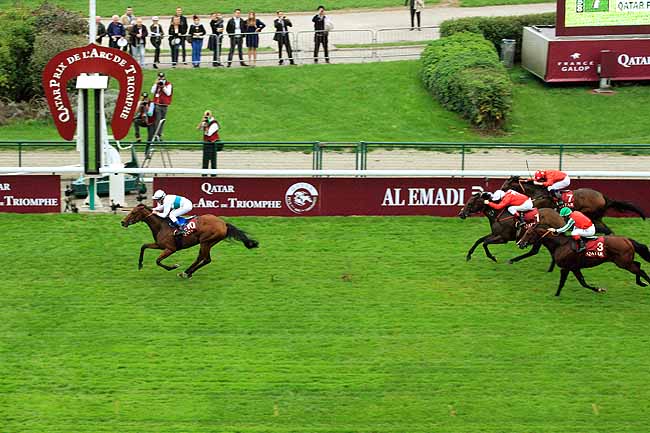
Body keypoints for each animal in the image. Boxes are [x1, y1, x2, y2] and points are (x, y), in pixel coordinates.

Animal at [120, 204, 256, 278]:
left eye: (133, 212)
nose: (122, 222)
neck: (161, 225)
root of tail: (223, 223)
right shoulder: (160, 245)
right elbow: (143, 246)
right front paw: (140, 264)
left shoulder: (171, 249)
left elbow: (158, 261)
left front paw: (173, 266)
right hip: (208, 243)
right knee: (202, 258)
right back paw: (187, 272)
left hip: (206, 241)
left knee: (206, 259)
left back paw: (186, 272)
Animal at [498, 176, 640, 235]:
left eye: (505, 184)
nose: (500, 191)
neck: (539, 192)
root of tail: (603, 197)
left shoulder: (541, 206)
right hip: (597, 218)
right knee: (607, 230)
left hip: (588, 213)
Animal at [520, 224, 648, 296]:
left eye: (528, 233)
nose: (520, 243)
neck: (560, 244)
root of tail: (627, 239)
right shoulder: (574, 268)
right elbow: (583, 282)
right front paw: (599, 289)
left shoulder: (565, 267)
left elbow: (562, 282)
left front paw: (556, 294)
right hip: (626, 261)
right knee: (638, 265)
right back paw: (641, 283)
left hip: (623, 263)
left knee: (640, 270)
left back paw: (644, 282)